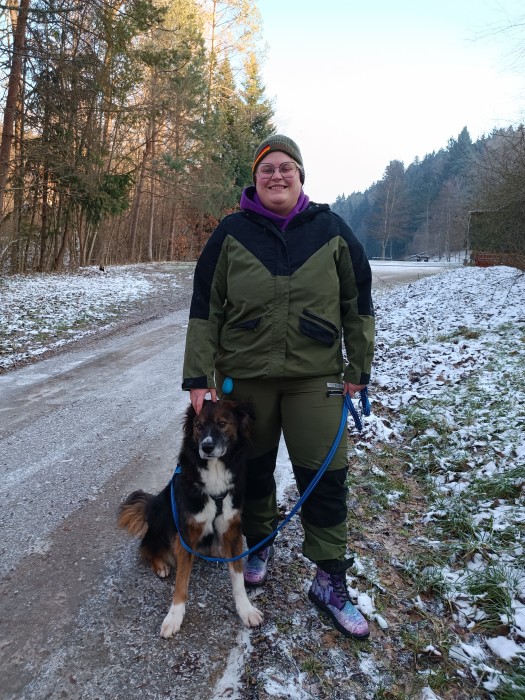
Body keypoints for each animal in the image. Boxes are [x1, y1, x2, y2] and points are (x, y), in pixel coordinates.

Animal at [118, 399, 263, 637]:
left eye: (222, 423)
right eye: (198, 426)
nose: (206, 447)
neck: (215, 472)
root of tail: (150, 508)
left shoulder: (231, 530)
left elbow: (238, 577)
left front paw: (246, 610)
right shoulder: (186, 533)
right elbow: (181, 582)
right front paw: (173, 617)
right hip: (162, 520)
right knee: (147, 548)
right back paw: (161, 566)